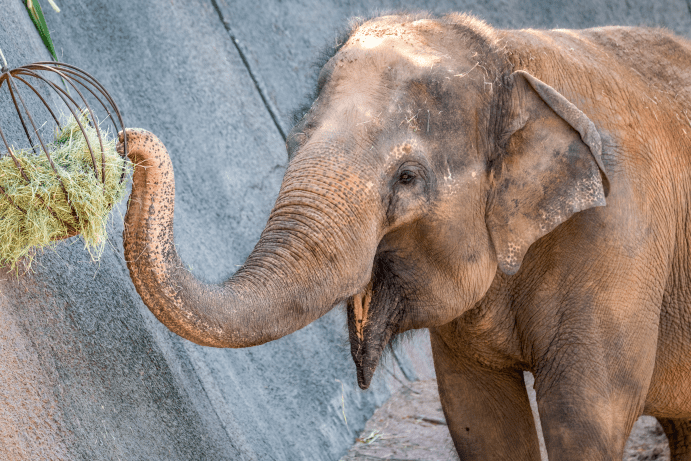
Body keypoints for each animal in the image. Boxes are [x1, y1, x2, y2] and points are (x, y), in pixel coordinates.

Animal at [119, 12, 691, 461]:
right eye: (294, 140)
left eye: (408, 178)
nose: (126, 140)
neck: (509, 54)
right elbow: (479, 416)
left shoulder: (620, 240)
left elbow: (582, 417)